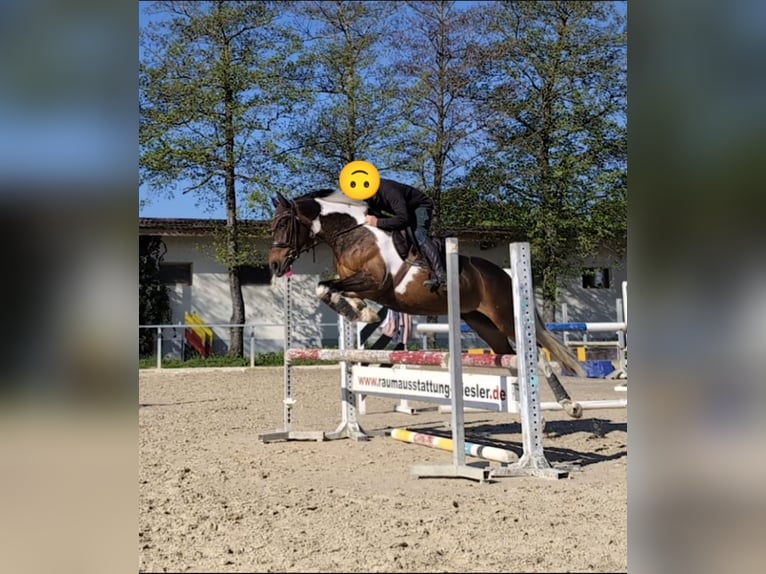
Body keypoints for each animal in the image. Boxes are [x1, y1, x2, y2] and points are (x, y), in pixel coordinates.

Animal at [268, 188, 585, 418]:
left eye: (284, 223)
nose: (274, 265)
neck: (354, 233)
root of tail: (503, 274)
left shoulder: (376, 283)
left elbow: (327, 287)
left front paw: (363, 312)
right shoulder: (357, 282)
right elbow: (327, 288)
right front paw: (360, 311)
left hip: (505, 316)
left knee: (538, 355)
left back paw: (569, 406)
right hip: (482, 323)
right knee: (510, 358)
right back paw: (525, 413)